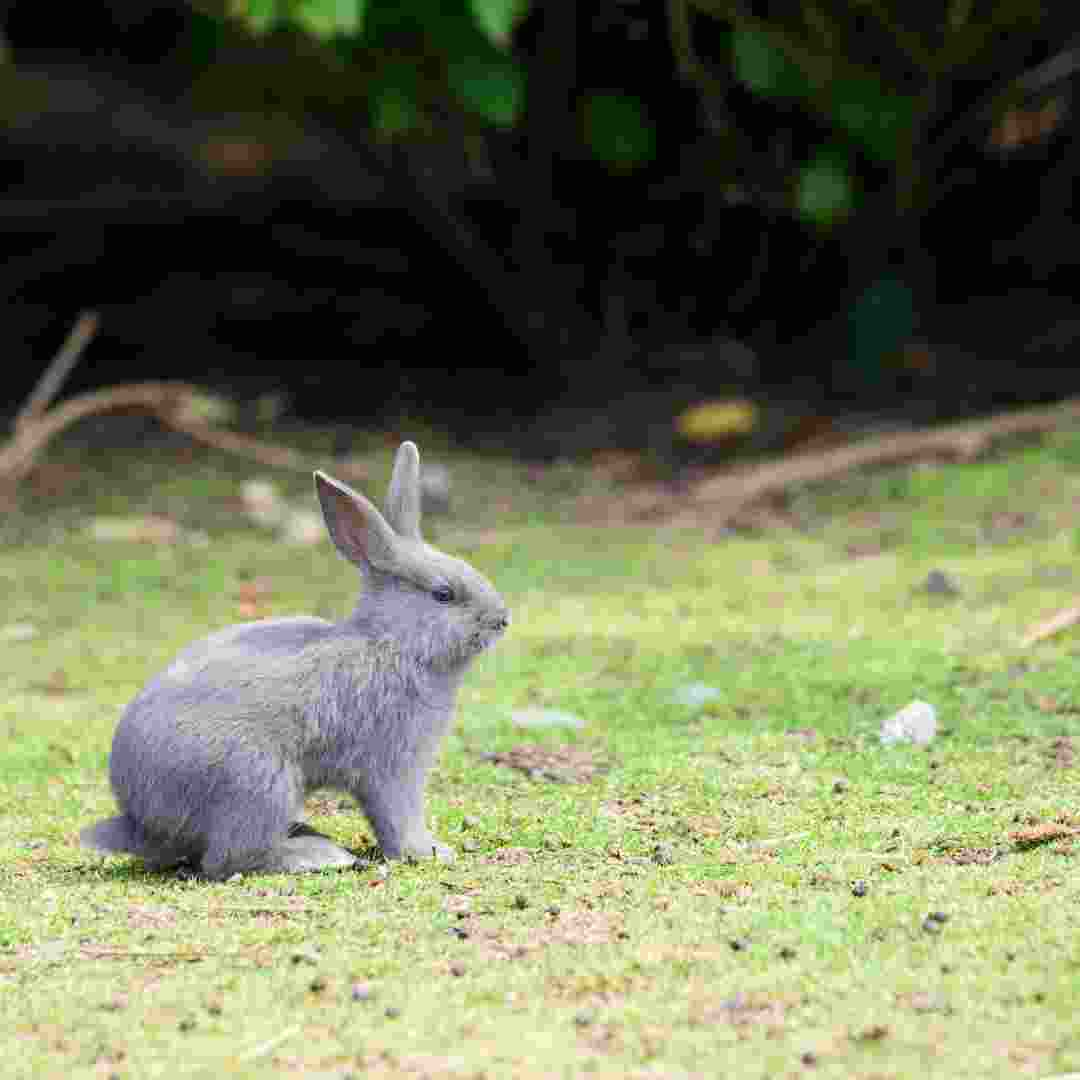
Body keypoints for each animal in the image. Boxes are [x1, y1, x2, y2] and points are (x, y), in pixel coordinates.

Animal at [79, 442, 509, 881]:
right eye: (443, 595)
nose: (501, 619)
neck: (391, 642)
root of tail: (140, 823)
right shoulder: (391, 765)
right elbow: (397, 816)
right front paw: (429, 852)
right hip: (259, 783)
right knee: (230, 860)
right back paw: (317, 855)